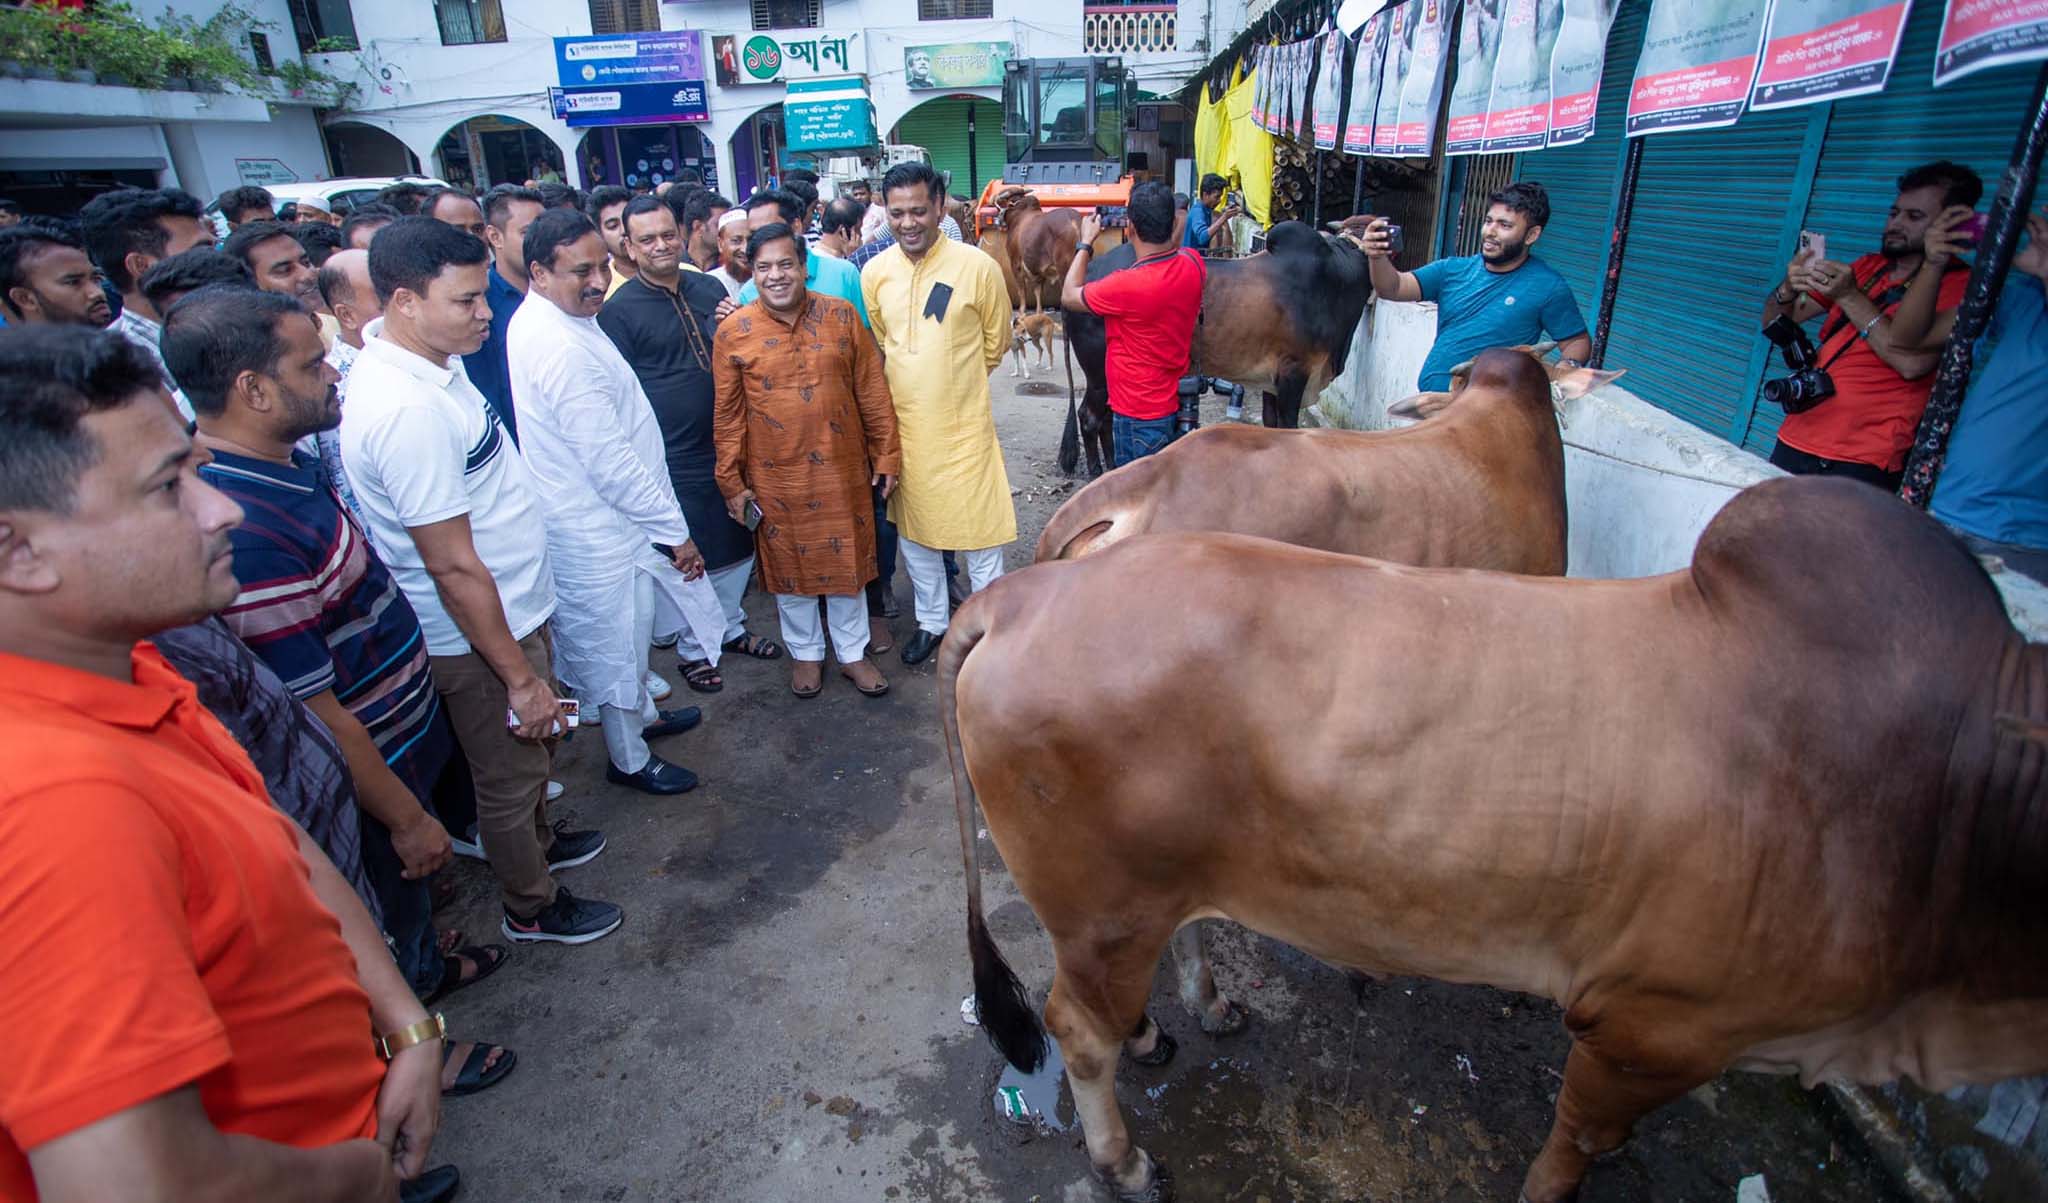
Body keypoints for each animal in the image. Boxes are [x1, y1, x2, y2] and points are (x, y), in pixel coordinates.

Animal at [937, 475, 2048, 1196]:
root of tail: (1020, 594)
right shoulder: (1654, 1028)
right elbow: (1573, 1147)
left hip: (1145, 890)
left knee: (1164, 955)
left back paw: (1182, 1018)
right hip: (1102, 907)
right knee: (1075, 1028)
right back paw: (1121, 1156)